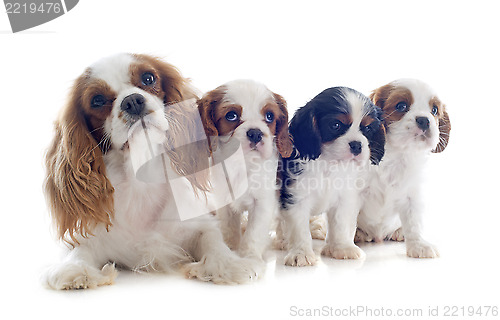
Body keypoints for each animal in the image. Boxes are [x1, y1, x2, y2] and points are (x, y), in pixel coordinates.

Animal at [198, 79, 292, 260]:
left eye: (270, 116)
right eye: (231, 115)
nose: (255, 133)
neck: (243, 164)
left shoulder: (262, 202)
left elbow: (254, 232)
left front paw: (250, 257)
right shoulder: (224, 200)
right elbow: (228, 226)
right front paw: (229, 248)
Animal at [280, 86, 384, 266]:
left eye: (367, 128)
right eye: (335, 125)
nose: (357, 145)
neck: (329, 164)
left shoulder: (344, 199)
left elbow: (340, 224)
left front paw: (342, 248)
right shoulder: (296, 198)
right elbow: (299, 230)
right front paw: (301, 253)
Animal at [358, 78, 452, 258]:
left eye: (434, 110)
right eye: (401, 106)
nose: (424, 119)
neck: (395, 155)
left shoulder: (412, 196)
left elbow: (414, 222)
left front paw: (419, 245)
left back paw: (400, 232)